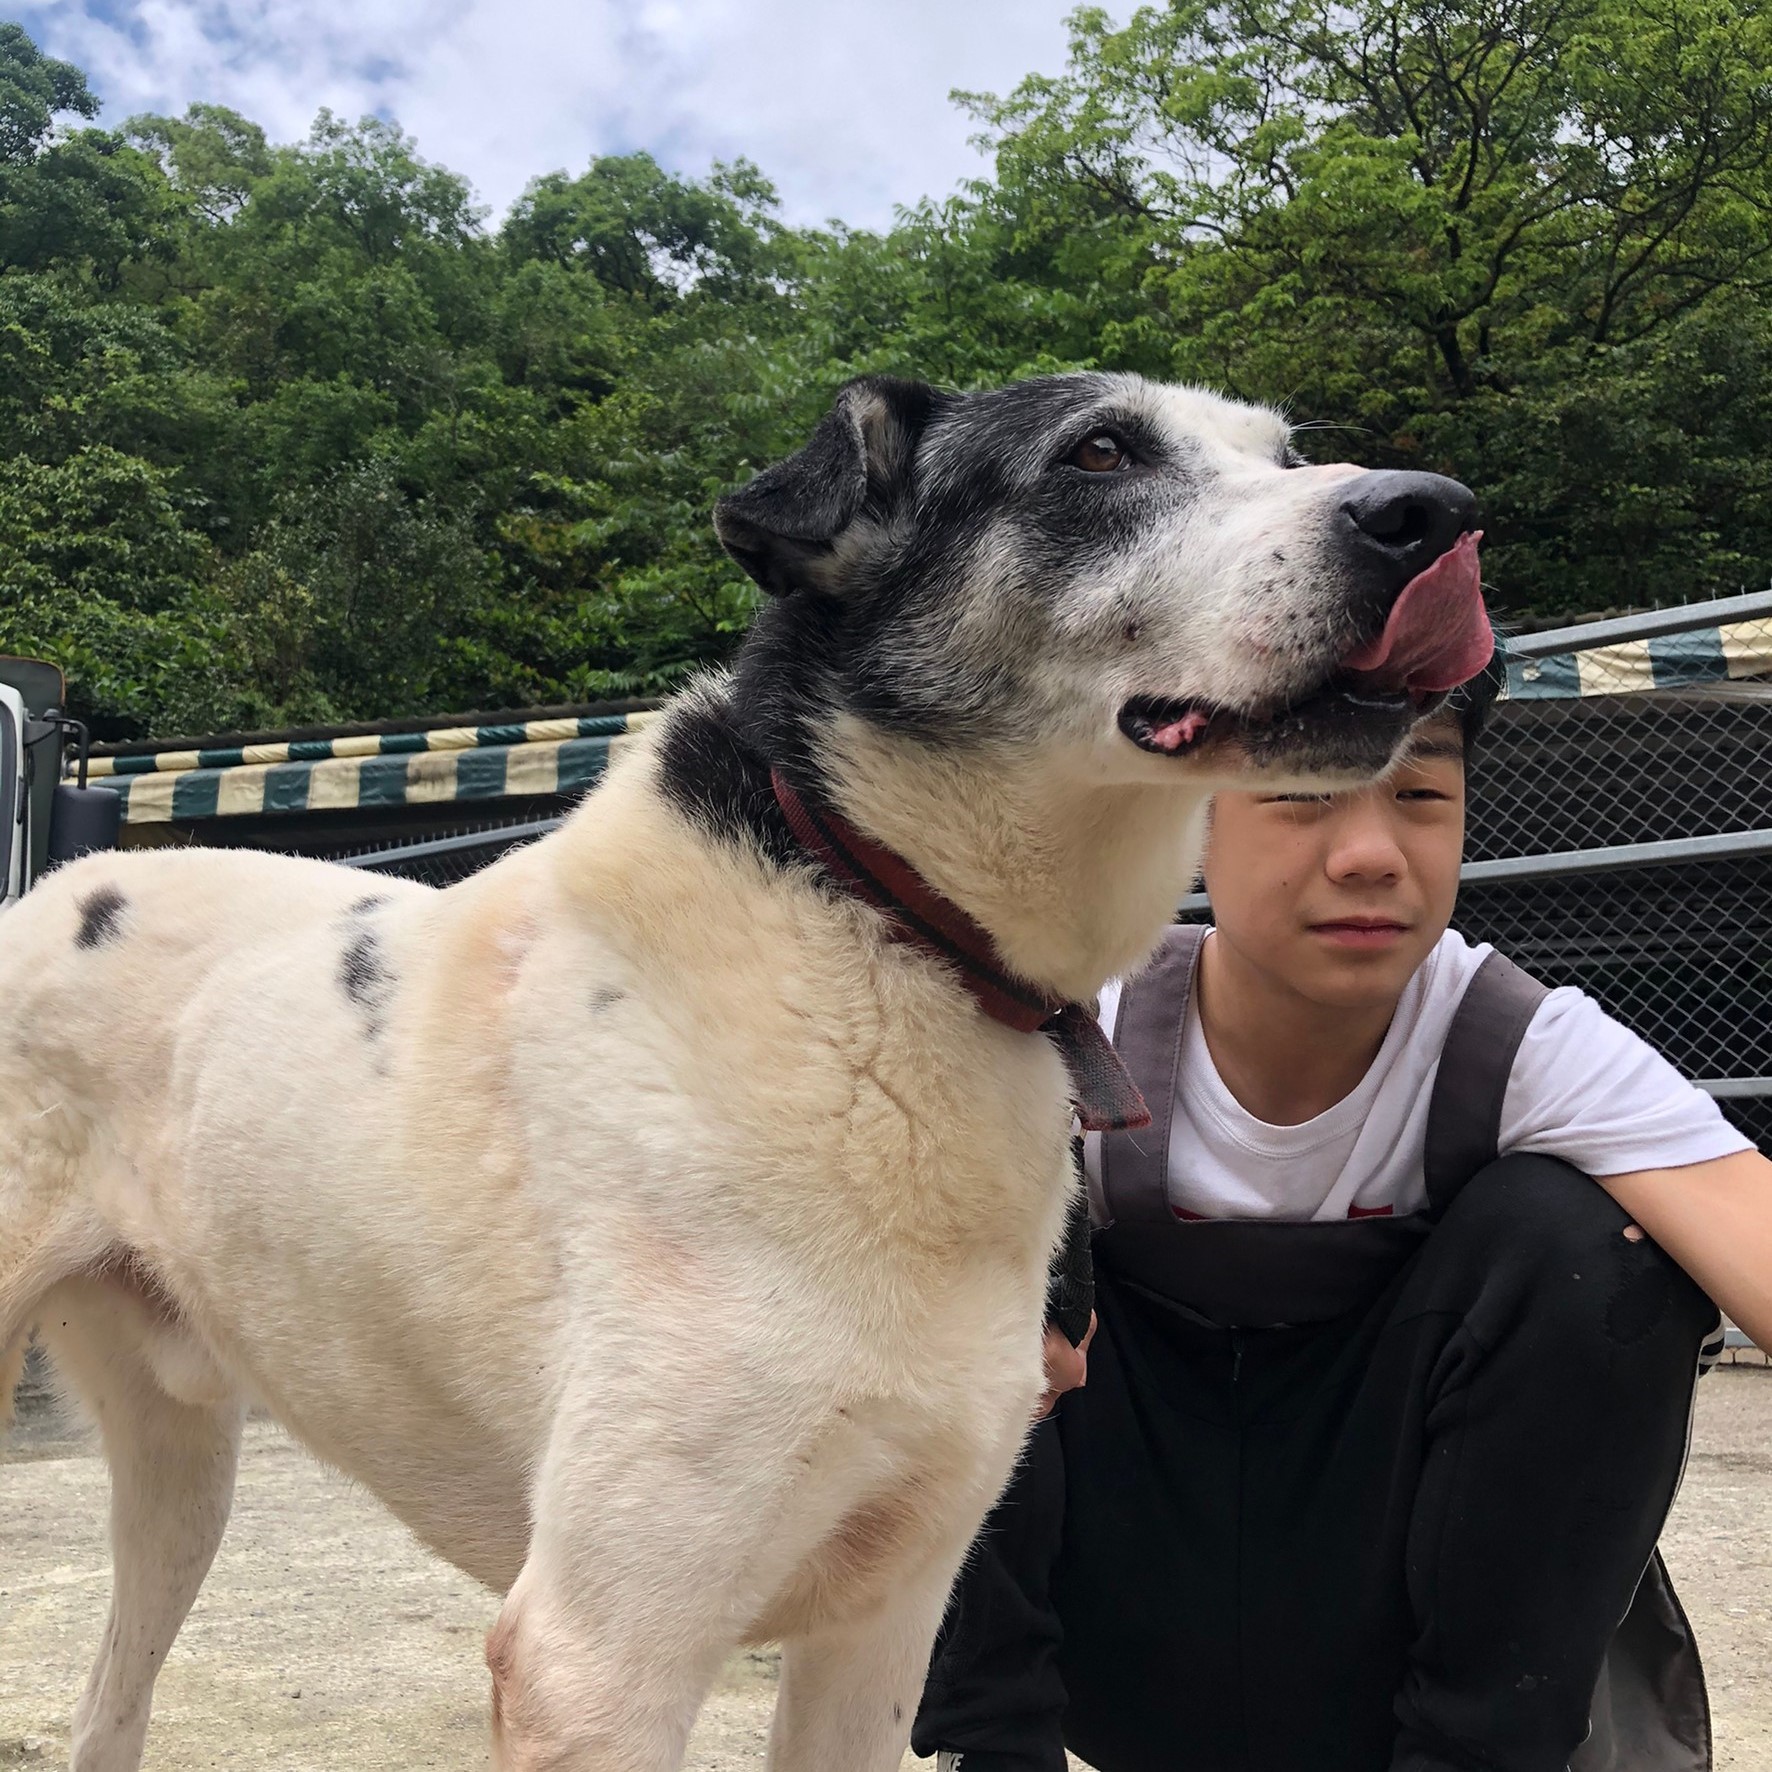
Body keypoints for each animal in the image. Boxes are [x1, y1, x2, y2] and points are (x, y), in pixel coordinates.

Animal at [0, 371, 1488, 1771]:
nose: (1432, 511)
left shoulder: (885, 1622)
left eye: (1281, 454)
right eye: (1100, 453)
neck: (877, 924)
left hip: (184, 1470)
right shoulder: (600, 1654)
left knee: (107, 1702)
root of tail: (56, 887)